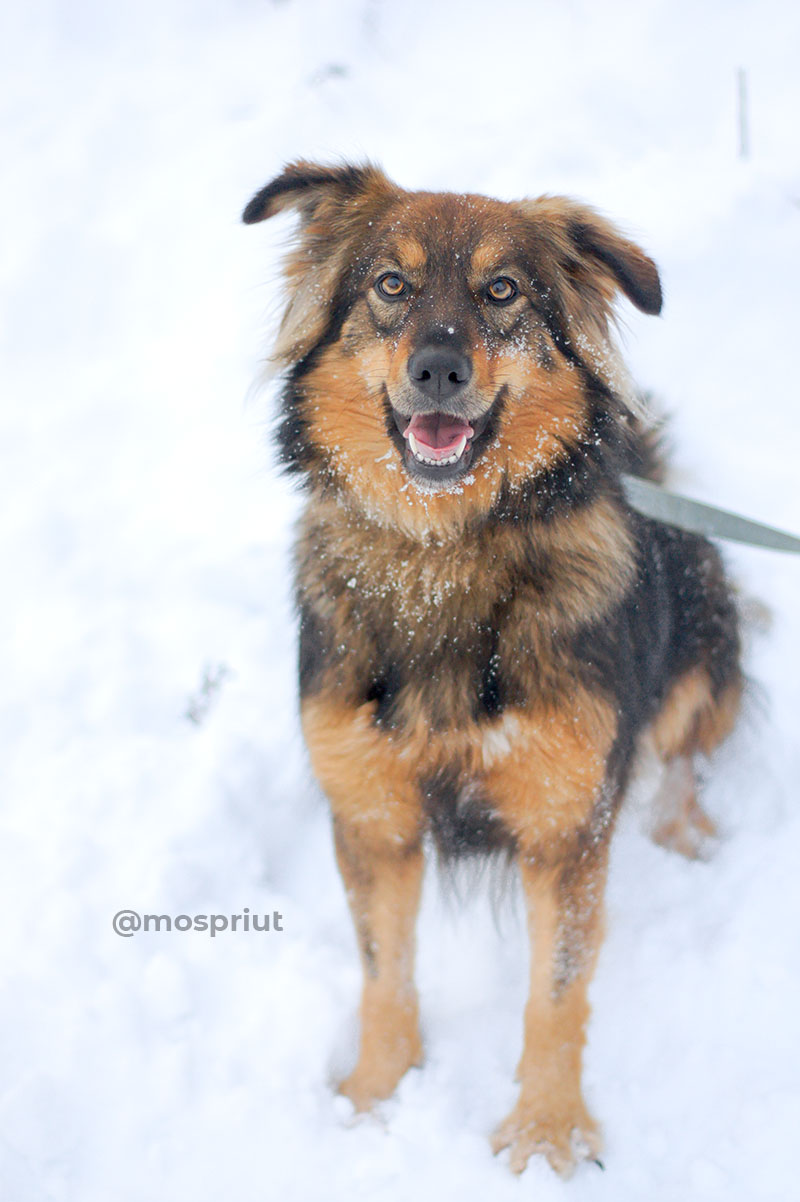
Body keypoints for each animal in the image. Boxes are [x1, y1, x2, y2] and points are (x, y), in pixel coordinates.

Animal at [240, 164, 739, 1177]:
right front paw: (373, 1099)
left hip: (702, 637)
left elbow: (557, 993)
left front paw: (548, 1131)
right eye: (391, 286)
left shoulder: (567, 824)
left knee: (685, 750)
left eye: (502, 291)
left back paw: (685, 829)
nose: (439, 371)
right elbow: (384, 974)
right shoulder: (373, 817)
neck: (443, 556)